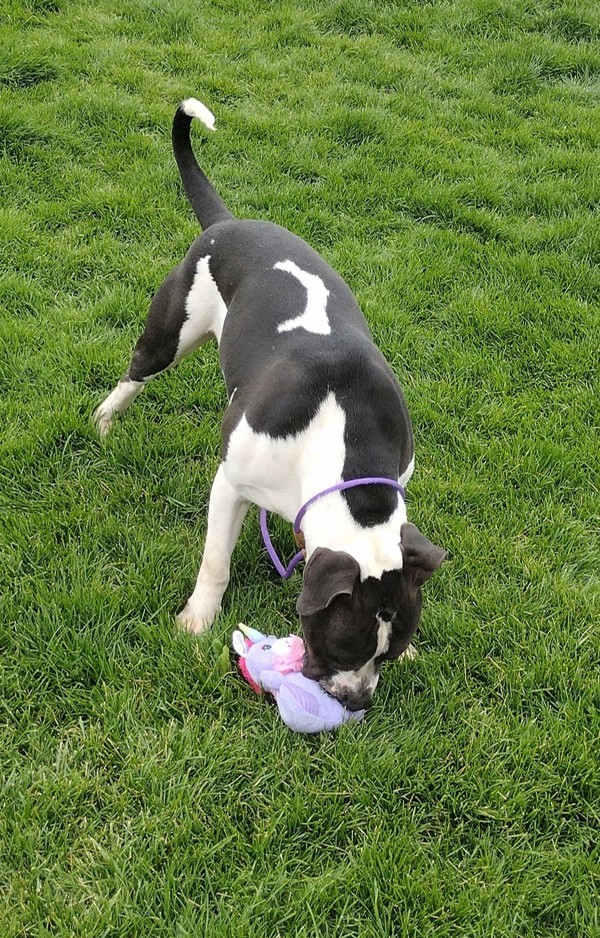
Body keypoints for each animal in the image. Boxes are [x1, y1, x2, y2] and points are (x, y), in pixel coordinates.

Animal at [95, 98, 446, 708]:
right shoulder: (231, 484)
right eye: (340, 646)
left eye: (388, 654)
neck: (341, 432)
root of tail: (227, 222)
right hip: (169, 332)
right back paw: (105, 419)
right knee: (136, 373)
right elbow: (216, 559)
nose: (357, 700)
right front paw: (198, 619)